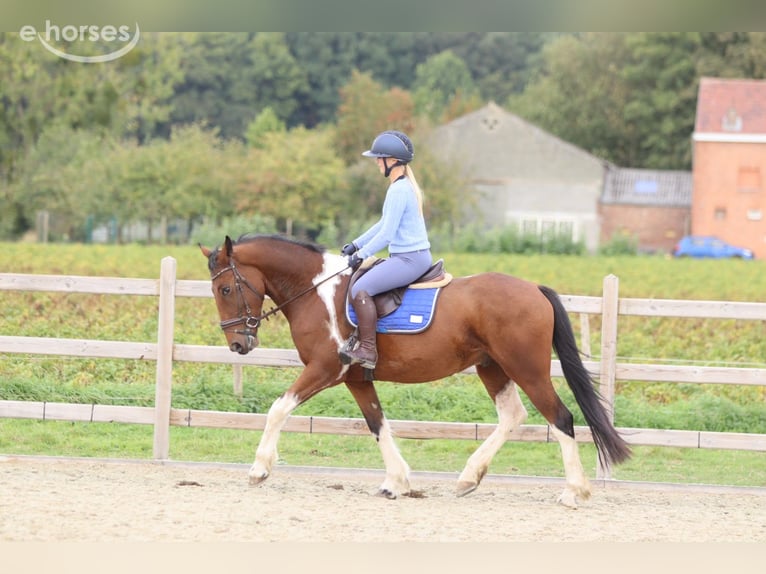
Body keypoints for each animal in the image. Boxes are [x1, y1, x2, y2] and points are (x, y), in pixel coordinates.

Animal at [199, 234, 631, 508]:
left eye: (225, 289)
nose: (238, 345)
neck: (316, 291)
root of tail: (533, 289)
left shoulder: (326, 369)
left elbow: (278, 409)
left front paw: (259, 469)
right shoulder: (357, 379)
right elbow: (378, 425)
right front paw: (396, 483)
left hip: (527, 368)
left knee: (560, 418)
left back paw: (574, 492)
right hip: (492, 367)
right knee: (513, 416)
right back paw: (469, 477)